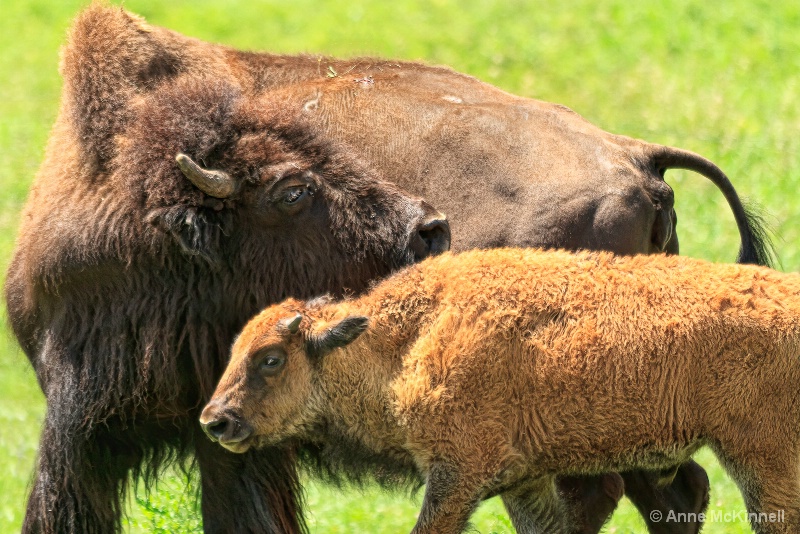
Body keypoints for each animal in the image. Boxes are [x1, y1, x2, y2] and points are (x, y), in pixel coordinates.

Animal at [202, 250, 800, 534]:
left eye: (271, 359)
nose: (215, 421)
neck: (406, 337)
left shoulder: (456, 474)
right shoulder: (524, 480)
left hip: (758, 457)